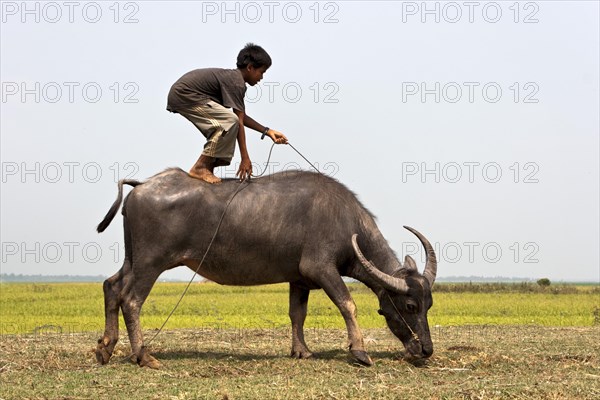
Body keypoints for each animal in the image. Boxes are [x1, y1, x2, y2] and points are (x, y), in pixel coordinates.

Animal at [96, 167, 438, 368]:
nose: (425, 350)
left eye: (429, 305)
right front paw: (360, 351)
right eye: (410, 305)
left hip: (133, 259)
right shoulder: (322, 269)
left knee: (112, 286)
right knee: (132, 299)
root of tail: (142, 185)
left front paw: (301, 351)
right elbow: (347, 304)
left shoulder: (299, 280)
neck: (345, 220)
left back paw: (106, 348)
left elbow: (297, 313)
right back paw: (143, 355)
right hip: (151, 263)